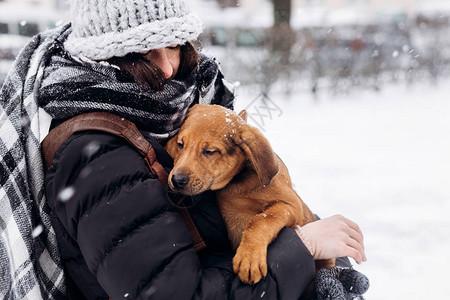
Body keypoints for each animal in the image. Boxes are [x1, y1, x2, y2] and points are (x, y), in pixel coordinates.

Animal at [165, 103, 334, 284]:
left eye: (210, 151)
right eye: (181, 144)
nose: (177, 180)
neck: (238, 181)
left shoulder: (292, 206)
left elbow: (260, 220)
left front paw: (249, 258)